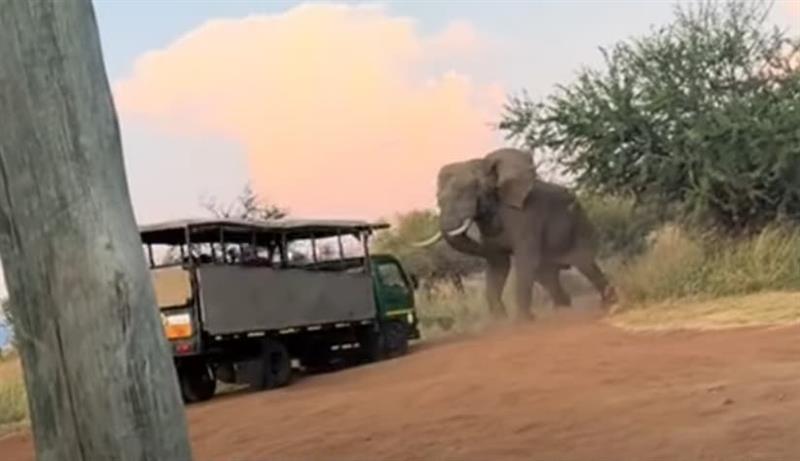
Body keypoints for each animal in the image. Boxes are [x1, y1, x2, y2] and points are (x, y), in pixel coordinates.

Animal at [414, 147, 616, 320]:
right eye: (438, 199)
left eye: (467, 192)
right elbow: (498, 264)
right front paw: (501, 322)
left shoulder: (526, 218)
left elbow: (524, 261)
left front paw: (523, 321)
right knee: (545, 273)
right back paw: (563, 309)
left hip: (579, 225)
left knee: (585, 264)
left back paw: (608, 305)